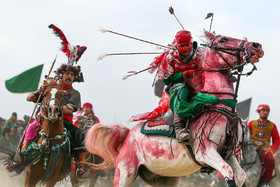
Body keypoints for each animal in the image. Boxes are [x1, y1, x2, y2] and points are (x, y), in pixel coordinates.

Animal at [84, 30, 264, 186]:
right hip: (125, 172)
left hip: (165, 178)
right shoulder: (205, 151)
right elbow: (228, 171)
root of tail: (128, 135)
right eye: (223, 40)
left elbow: (240, 175)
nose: (256, 46)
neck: (219, 104)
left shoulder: (227, 153)